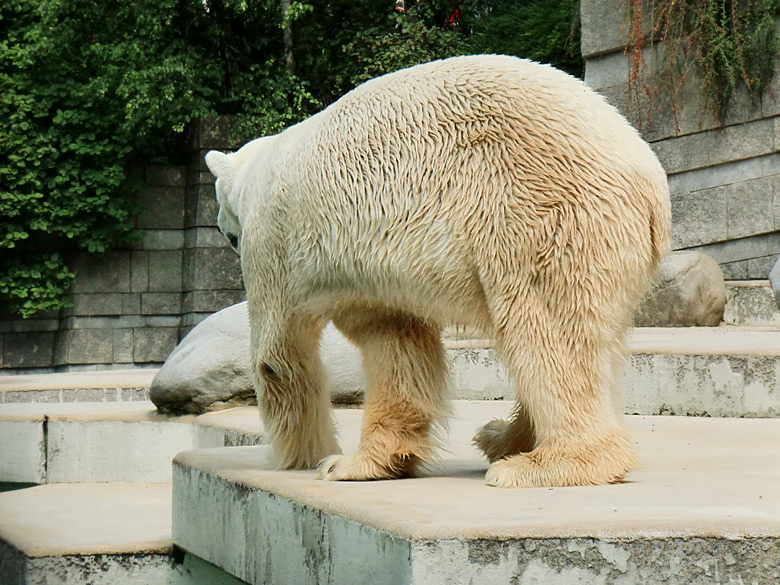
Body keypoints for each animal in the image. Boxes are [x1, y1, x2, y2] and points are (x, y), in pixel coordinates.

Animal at [206, 54, 672, 486]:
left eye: (229, 228)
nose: (225, 235)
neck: (256, 172)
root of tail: (653, 183)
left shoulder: (272, 243)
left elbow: (277, 356)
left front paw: (308, 458)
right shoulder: (376, 271)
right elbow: (394, 342)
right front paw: (366, 463)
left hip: (538, 213)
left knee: (544, 328)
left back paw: (543, 463)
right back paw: (500, 437)